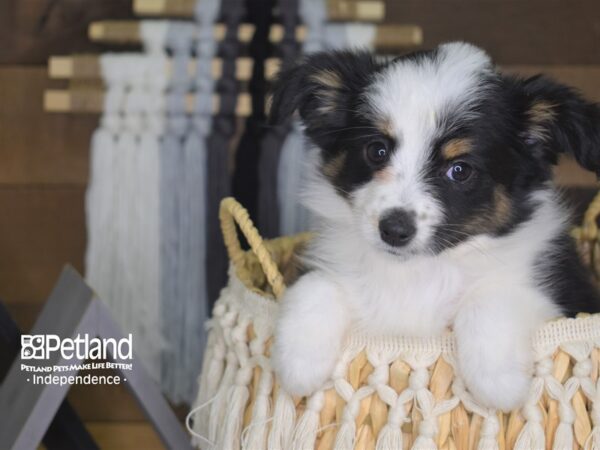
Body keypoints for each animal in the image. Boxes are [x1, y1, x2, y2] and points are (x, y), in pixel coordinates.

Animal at [268, 43, 600, 412]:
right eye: (377, 150)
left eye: (460, 170)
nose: (394, 230)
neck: (417, 271)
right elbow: (315, 284)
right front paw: (299, 363)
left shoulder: (559, 296)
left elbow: (491, 297)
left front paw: (499, 381)